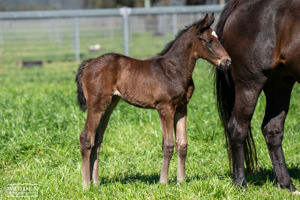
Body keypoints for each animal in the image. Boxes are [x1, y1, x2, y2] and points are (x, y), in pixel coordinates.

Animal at [76, 13, 231, 188]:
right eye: (208, 41)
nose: (227, 61)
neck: (174, 69)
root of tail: (88, 63)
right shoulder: (165, 108)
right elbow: (168, 144)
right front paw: (163, 181)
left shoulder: (182, 108)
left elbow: (182, 144)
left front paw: (181, 181)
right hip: (96, 104)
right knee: (86, 137)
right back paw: (86, 185)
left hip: (109, 105)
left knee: (97, 140)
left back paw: (95, 183)